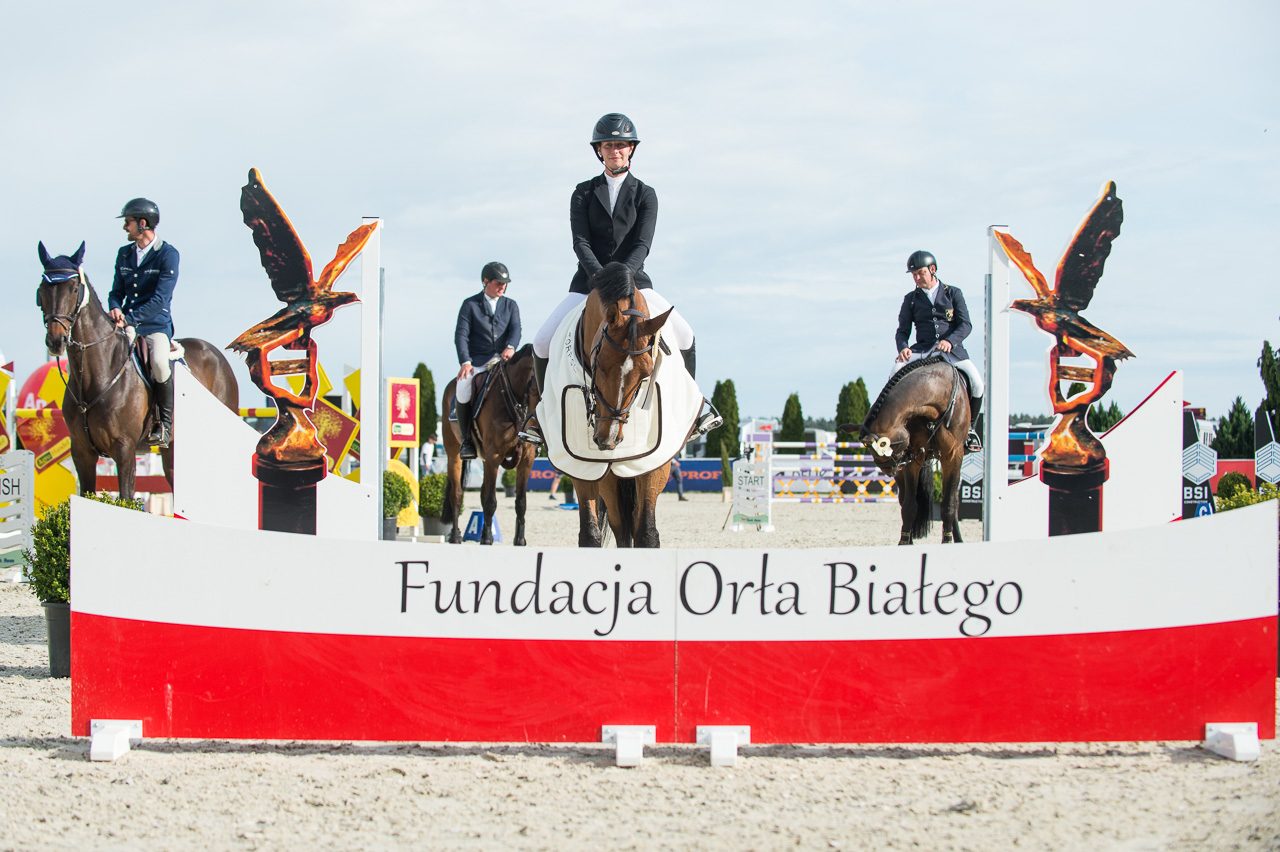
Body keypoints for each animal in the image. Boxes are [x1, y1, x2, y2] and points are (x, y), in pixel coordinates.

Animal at [36, 242, 239, 503]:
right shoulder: (82, 452)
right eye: (42, 289)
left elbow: (125, 497)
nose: (55, 341)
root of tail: (216, 354)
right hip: (172, 451)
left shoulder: (124, 449)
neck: (95, 374)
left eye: (73, 289)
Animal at [440, 344, 539, 545]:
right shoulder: (494, 457)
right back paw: (456, 536)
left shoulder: (526, 458)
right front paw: (487, 540)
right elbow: (490, 501)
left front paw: (519, 541)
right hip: (453, 454)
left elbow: (521, 502)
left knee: (481, 493)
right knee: (457, 495)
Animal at [570, 264, 673, 548]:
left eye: (646, 374)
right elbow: (590, 534)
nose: (609, 438)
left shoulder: (655, 459)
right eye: (600, 362)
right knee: (620, 525)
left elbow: (647, 532)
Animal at [847, 355, 971, 545]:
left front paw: (947, 541)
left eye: (883, 446)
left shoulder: (953, 455)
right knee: (904, 500)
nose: (888, 469)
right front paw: (905, 542)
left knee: (953, 500)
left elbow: (949, 504)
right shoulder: (915, 457)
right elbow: (910, 506)